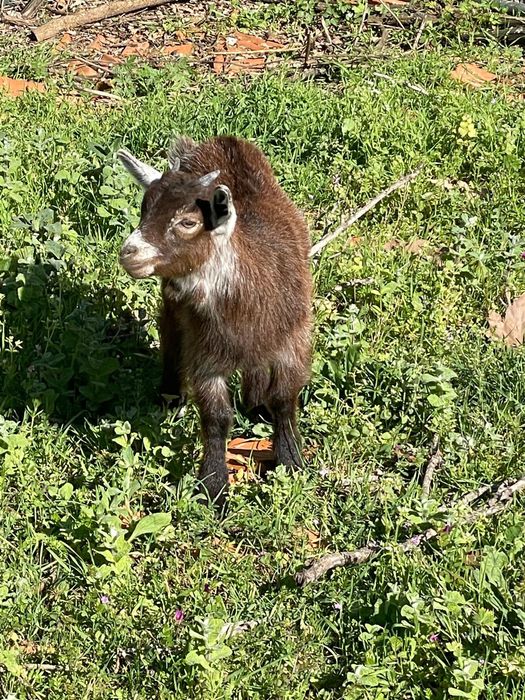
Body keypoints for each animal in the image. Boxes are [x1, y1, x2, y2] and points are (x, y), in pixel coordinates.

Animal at [117, 136, 312, 505]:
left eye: (188, 222)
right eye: (144, 210)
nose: (129, 253)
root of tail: (222, 141)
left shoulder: (293, 339)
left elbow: (284, 398)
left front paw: (292, 463)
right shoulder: (206, 355)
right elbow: (216, 418)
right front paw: (213, 487)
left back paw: (255, 403)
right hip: (173, 303)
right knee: (170, 333)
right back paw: (170, 397)